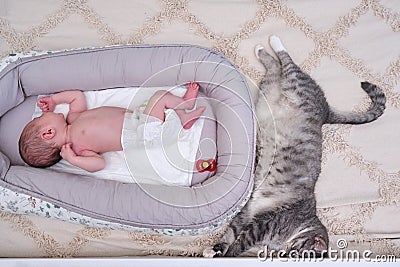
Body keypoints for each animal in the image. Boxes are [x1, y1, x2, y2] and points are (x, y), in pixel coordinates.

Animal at [205, 35, 386, 258]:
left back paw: (260, 50)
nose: (285, 254)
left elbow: (233, 233)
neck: (301, 226)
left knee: (274, 66)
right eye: (301, 253)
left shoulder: (248, 216)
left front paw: (215, 250)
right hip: (296, 84)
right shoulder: (263, 224)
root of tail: (326, 112)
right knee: (287, 62)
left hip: (269, 85)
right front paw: (225, 253)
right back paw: (274, 41)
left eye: (295, 255)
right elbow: (238, 243)